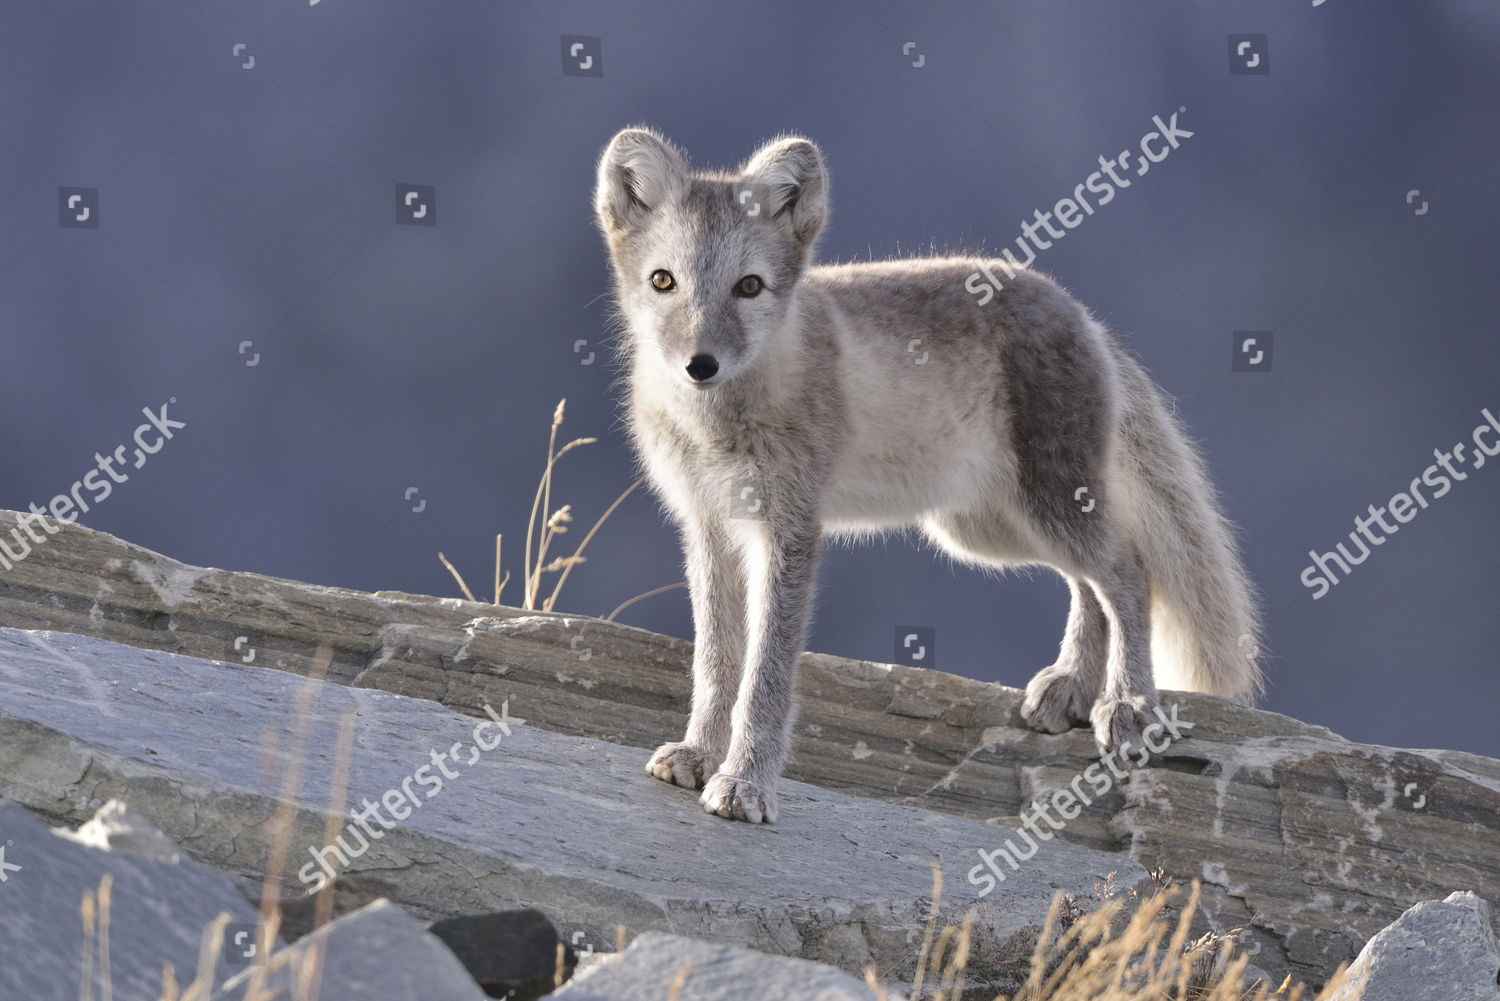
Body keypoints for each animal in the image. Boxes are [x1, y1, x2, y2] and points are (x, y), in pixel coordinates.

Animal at [591, 129, 1260, 828]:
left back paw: (1129, 704)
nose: (701, 365)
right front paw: (698, 755)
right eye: (663, 281)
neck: (717, 425)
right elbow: (716, 663)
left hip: (1046, 507)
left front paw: (745, 784)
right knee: (1090, 584)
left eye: (749, 286)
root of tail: (1084, 315)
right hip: (987, 529)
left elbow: (765, 676)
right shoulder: (708, 526)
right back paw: (1072, 688)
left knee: (1129, 574)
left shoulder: (790, 529)